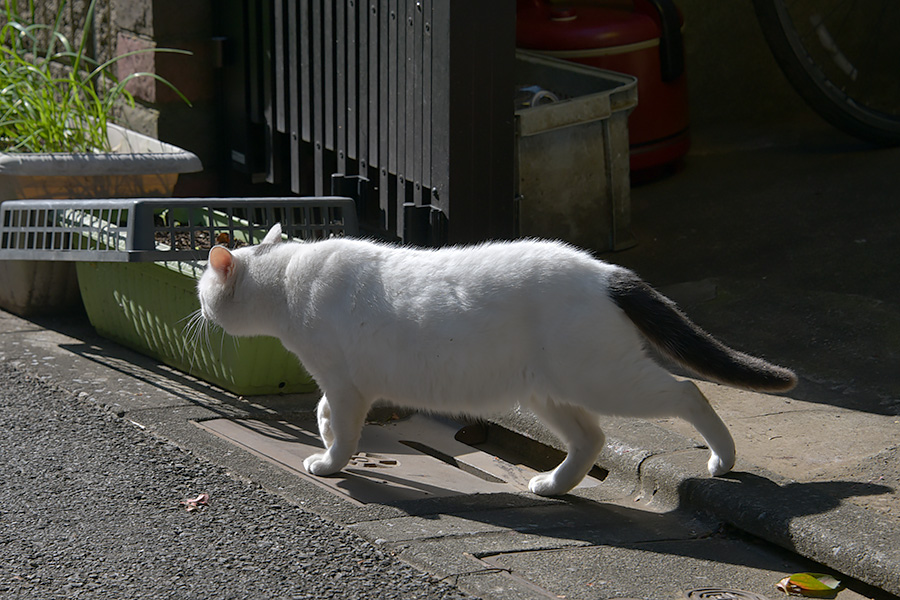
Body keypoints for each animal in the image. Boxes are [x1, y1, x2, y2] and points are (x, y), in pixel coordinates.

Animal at [197, 225, 796, 496]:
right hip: (546, 393)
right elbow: (325, 414)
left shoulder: (347, 386)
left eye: (204, 288)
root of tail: (606, 272)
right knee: (592, 439)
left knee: (688, 392)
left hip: (603, 380)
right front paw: (322, 437)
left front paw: (329, 463)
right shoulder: (341, 386)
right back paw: (553, 485)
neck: (287, 277)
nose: (198, 310)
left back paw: (723, 459)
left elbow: (342, 430)